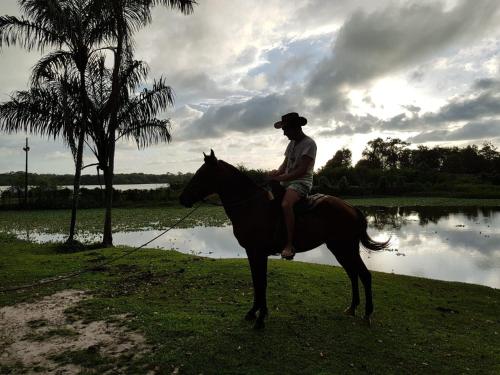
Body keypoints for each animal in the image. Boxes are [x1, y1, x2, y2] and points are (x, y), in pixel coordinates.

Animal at [180, 151, 390, 330]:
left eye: (201, 174)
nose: (182, 198)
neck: (251, 206)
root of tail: (351, 207)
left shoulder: (259, 252)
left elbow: (262, 283)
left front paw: (260, 319)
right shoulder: (252, 252)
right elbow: (256, 282)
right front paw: (254, 312)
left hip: (346, 247)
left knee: (364, 275)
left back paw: (367, 314)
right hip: (340, 248)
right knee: (353, 274)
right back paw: (352, 308)